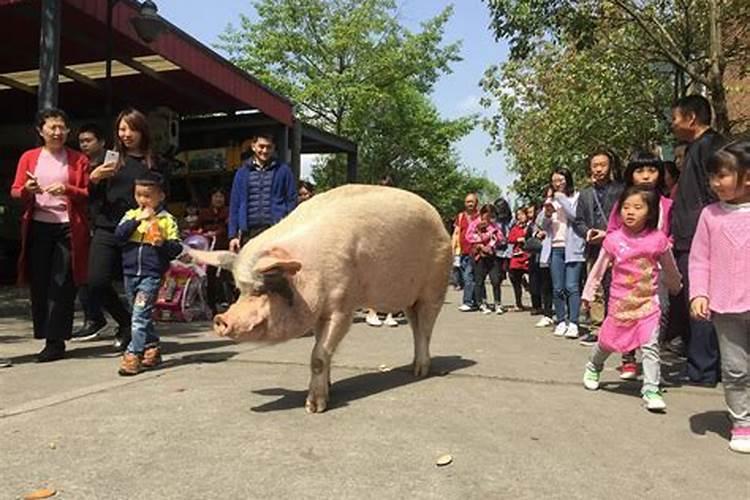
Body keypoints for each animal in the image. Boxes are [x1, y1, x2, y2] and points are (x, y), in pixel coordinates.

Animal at [191, 186, 456, 412]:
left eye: (260, 289)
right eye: (240, 290)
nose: (220, 319)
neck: (308, 272)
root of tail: (439, 220)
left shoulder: (342, 307)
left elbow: (318, 356)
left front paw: (313, 408)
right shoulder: (320, 311)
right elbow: (322, 350)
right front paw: (329, 388)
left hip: (434, 287)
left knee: (425, 331)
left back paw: (420, 372)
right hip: (411, 300)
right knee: (415, 327)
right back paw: (412, 368)